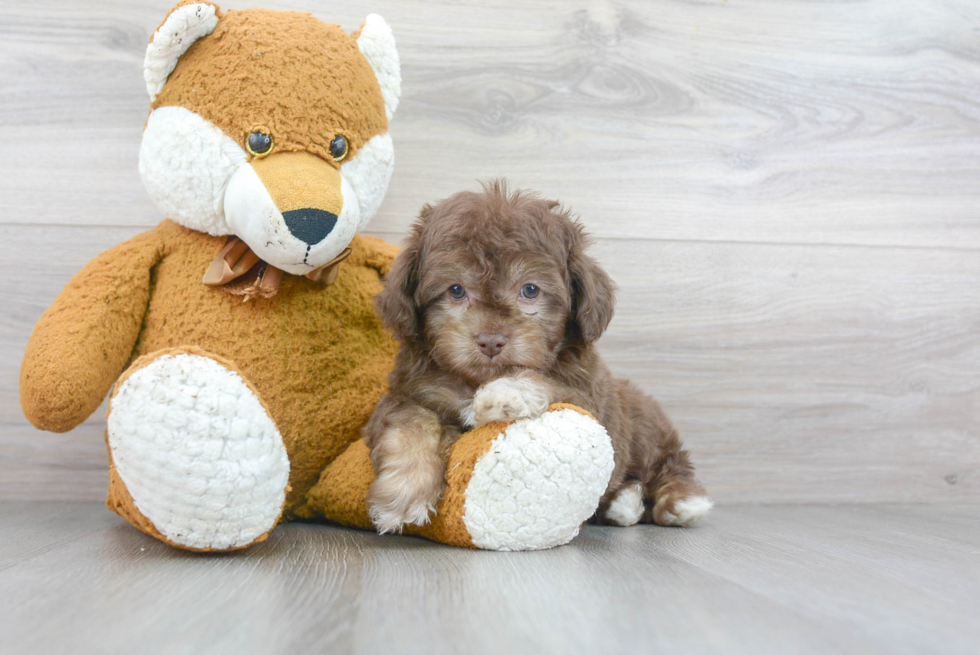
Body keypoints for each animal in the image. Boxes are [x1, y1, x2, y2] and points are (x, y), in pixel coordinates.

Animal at [364, 182, 708, 536]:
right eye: (456, 290)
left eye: (530, 290)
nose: (491, 340)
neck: (476, 380)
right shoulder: (408, 392)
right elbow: (412, 423)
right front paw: (404, 491)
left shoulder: (588, 397)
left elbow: (549, 382)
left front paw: (507, 392)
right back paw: (623, 504)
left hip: (643, 421)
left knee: (667, 462)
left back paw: (681, 501)